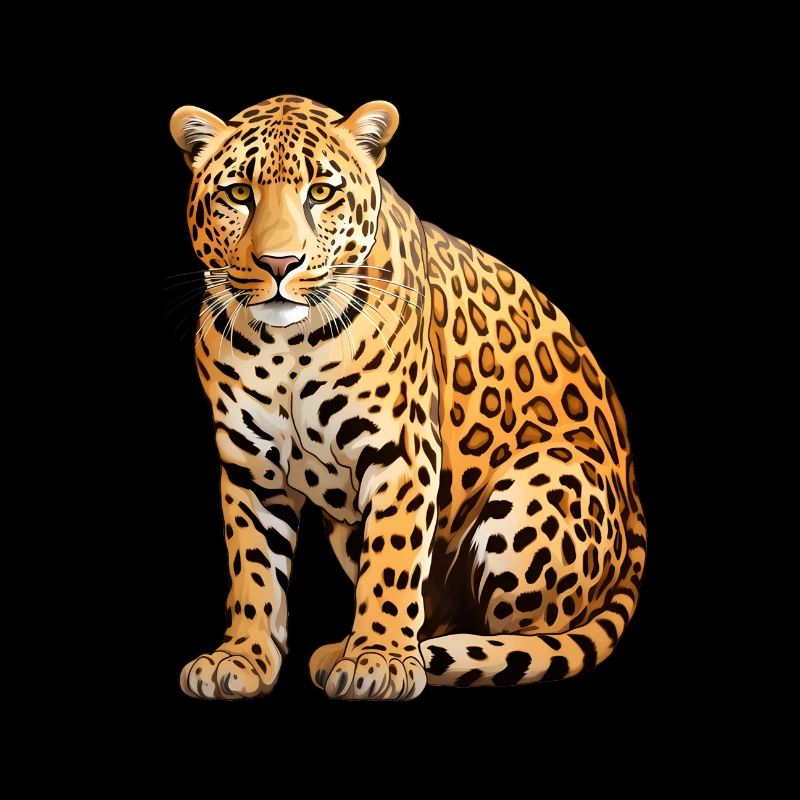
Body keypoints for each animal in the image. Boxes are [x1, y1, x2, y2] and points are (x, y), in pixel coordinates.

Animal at [169, 94, 647, 701]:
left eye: (320, 192)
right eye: (238, 193)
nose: (280, 263)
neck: (287, 348)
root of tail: (637, 513)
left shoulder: (401, 452)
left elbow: (392, 564)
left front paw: (380, 660)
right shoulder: (250, 465)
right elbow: (253, 569)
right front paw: (243, 658)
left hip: (541, 483)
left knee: (535, 635)